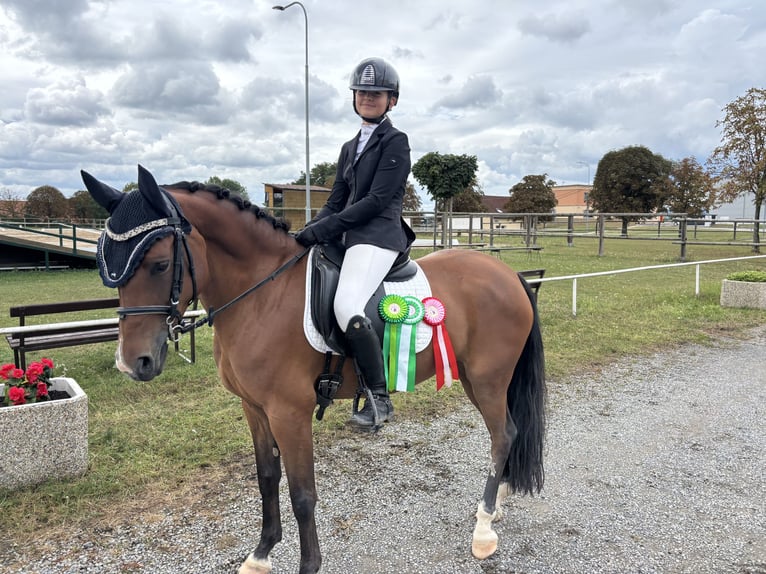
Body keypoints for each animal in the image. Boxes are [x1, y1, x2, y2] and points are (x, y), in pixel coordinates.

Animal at [81, 165, 546, 574]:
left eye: (160, 264)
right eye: (109, 267)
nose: (132, 363)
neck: (260, 295)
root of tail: (509, 274)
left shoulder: (290, 412)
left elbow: (302, 494)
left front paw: (306, 565)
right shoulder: (254, 408)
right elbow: (267, 478)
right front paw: (261, 555)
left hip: (487, 379)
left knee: (503, 434)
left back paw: (483, 530)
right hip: (473, 378)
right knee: (505, 434)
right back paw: (496, 506)